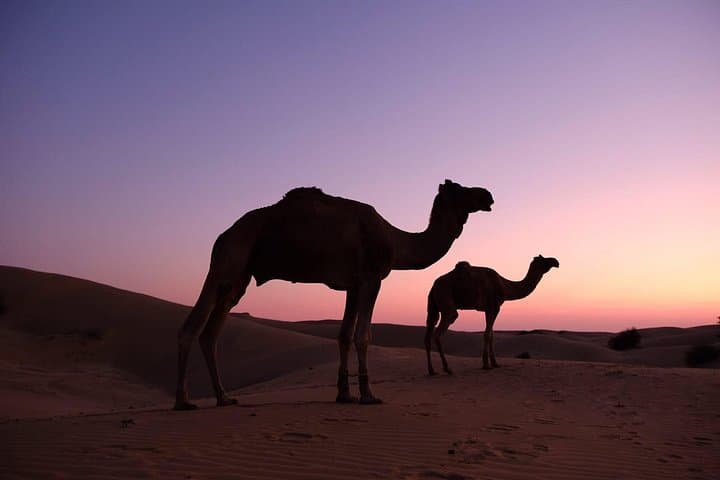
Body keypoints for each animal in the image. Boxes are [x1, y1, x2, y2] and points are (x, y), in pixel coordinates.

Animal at [175, 179, 494, 409]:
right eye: (460, 189)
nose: (488, 195)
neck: (396, 239)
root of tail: (223, 234)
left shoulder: (353, 285)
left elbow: (343, 336)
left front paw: (344, 394)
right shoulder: (371, 279)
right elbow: (363, 335)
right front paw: (368, 394)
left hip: (238, 278)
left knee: (211, 332)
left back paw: (224, 397)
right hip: (227, 260)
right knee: (191, 326)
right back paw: (184, 401)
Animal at [425, 255, 559, 375]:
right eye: (543, 260)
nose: (556, 261)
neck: (504, 285)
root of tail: (433, 286)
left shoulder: (488, 309)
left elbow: (491, 335)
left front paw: (495, 363)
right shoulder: (494, 307)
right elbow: (487, 334)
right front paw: (486, 365)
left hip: (433, 306)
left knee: (428, 333)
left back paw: (432, 371)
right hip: (446, 299)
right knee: (439, 332)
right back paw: (447, 369)